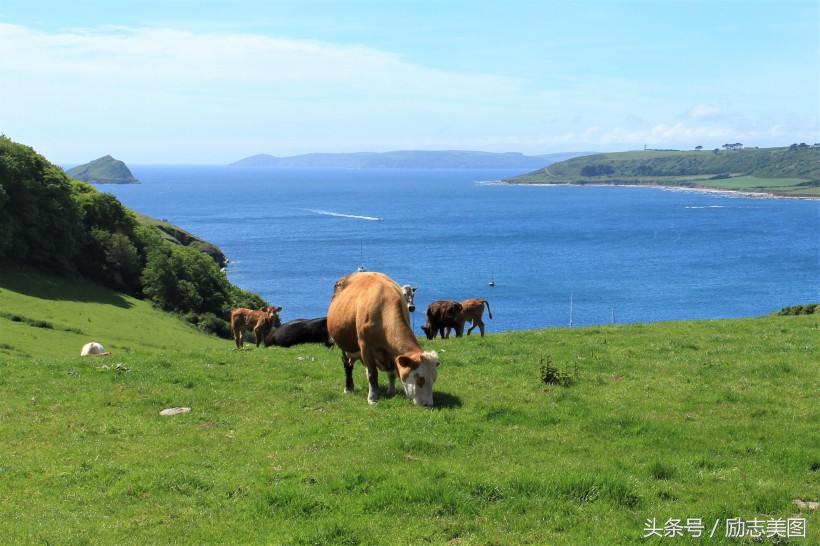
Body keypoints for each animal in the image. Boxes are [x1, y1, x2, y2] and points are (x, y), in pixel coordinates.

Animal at [328, 272, 442, 404]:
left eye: (433, 379)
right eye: (420, 378)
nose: (427, 404)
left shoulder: (392, 352)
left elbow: (392, 374)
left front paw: (391, 392)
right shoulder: (365, 348)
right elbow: (372, 374)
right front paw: (372, 398)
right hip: (345, 346)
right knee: (348, 364)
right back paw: (349, 387)